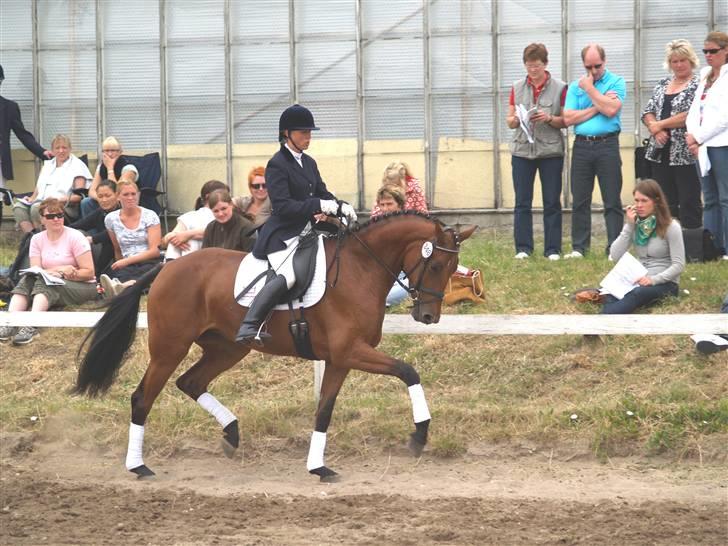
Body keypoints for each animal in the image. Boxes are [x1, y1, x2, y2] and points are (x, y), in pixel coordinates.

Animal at [72, 210, 472, 478]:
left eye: (453, 269)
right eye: (436, 265)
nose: (428, 317)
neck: (361, 269)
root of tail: (166, 268)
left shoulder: (340, 359)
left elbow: (324, 410)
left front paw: (318, 467)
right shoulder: (350, 352)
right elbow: (408, 371)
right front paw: (419, 435)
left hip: (228, 348)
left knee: (191, 382)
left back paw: (231, 434)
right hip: (170, 347)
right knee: (143, 397)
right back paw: (138, 466)